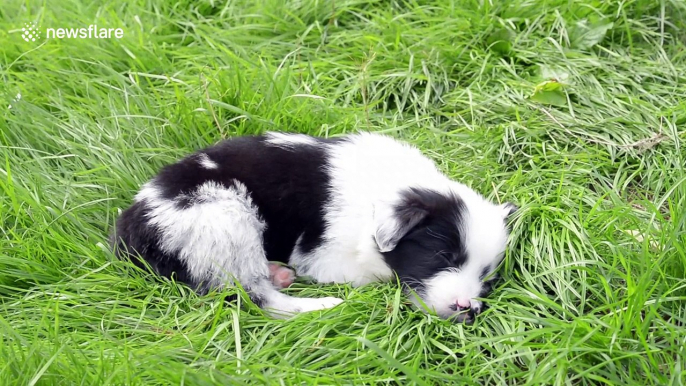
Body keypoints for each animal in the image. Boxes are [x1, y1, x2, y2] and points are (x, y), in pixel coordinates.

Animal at [111, 133, 516, 322]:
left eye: (487, 277)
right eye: (442, 255)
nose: (467, 309)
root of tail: (132, 227)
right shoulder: (324, 255)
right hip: (222, 217)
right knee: (254, 297)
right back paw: (323, 304)